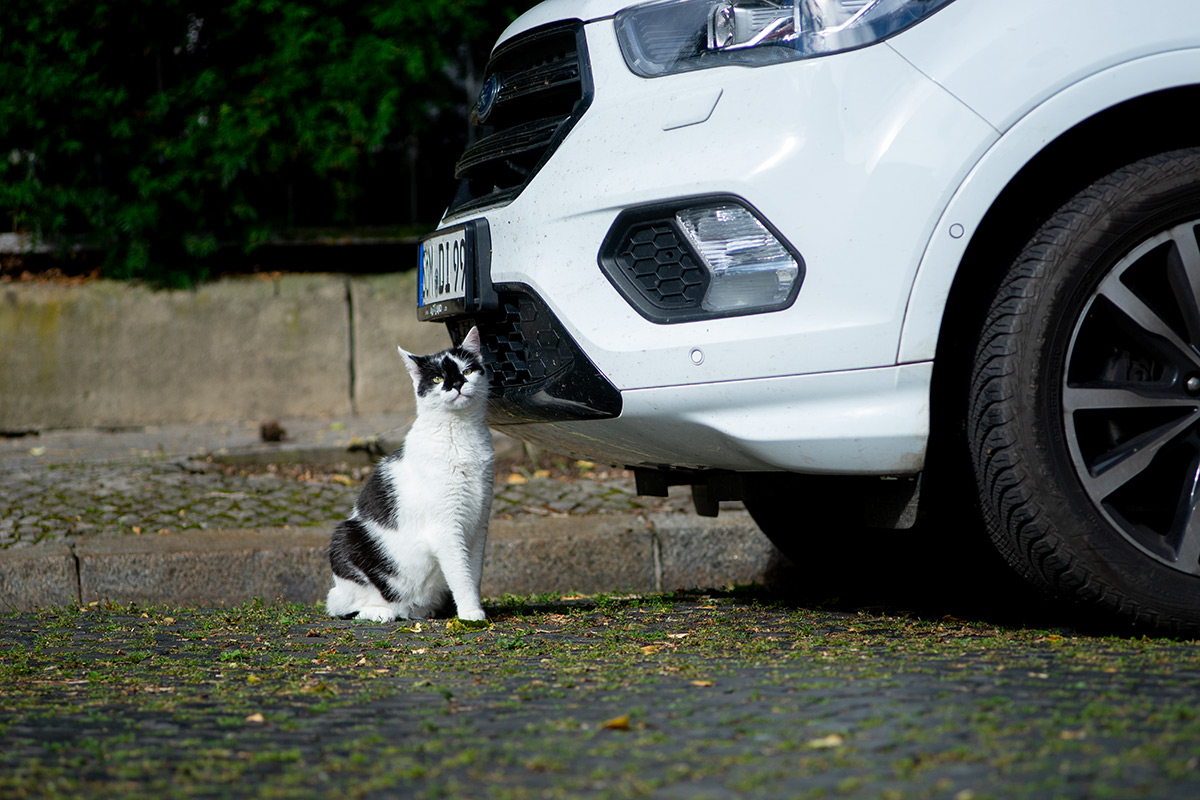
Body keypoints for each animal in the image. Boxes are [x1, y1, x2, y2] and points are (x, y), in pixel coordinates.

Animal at [326, 326, 493, 622]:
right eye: (438, 378)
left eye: (467, 370)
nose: (457, 384)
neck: (460, 433)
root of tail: (408, 609)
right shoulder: (446, 529)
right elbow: (460, 574)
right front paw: (471, 614)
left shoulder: (479, 525)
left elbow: (473, 573)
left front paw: (473, 607)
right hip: (345, 536)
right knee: (342, 606)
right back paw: (379, 612)